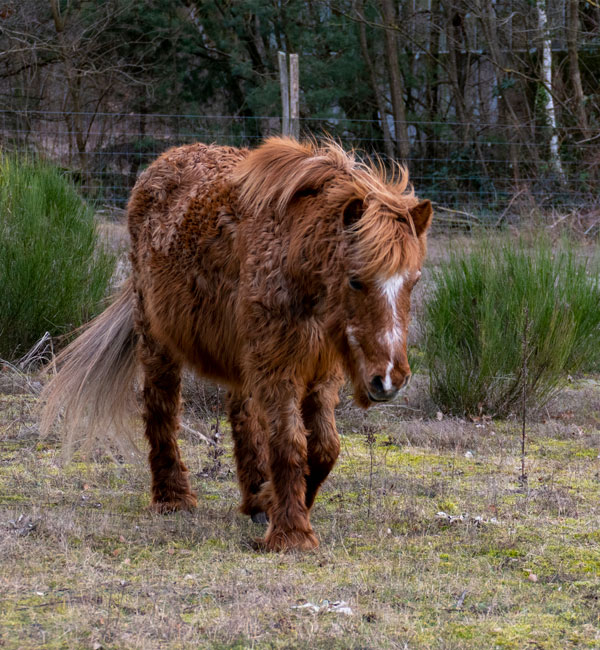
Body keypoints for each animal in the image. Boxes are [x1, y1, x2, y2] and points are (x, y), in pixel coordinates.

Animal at [41, 135, 432, 548]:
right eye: (356, 280)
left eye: (414, 281)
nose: (389, 379)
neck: (293, 255)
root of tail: (161, 163)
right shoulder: (278, 366)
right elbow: (290, 444)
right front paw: (291, 533)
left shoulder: (320, 371)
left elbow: (325, 447)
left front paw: (277, 502)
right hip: (157, 339)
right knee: (161, 407)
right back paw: (172, 497)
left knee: (242, 415)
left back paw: (254, 497)